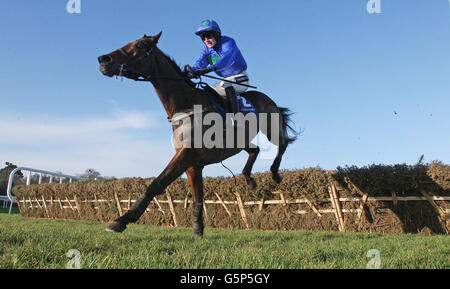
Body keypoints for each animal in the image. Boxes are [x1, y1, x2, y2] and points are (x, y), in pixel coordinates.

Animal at [97, 32, 298, 234]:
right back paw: (248, 178)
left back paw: (274, 173)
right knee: (254, 150)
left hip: (271, 128)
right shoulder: (193, 164)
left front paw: (122, 220)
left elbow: (157, 184)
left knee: (283, 143)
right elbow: (197, 197)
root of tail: (268, 99)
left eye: (139, 45)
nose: (103, 59)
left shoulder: (186, 155)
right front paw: (198, 228)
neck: (186, 108)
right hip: (240, 141)